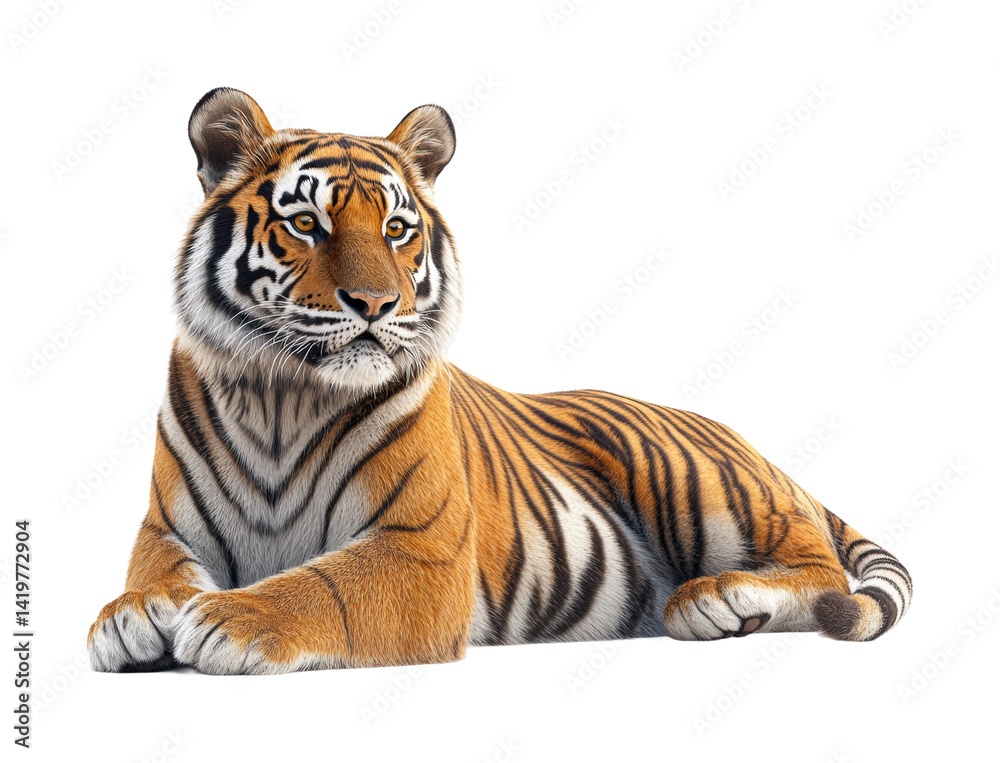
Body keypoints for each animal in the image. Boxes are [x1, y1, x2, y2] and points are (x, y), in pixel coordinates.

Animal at [86, 87, 912, 674]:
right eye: (308, 225)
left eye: (396, 229)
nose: (376, 304)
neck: (283, 398)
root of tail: (757, 450)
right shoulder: (166, 528)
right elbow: (154, 574)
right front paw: (131, 615)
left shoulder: (419, 547)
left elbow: (320, 584)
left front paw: (230, 617)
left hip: (686, 471)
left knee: (822, 570)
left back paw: (717, 597)